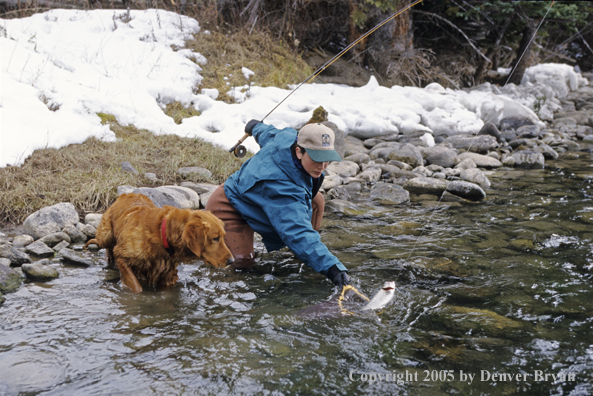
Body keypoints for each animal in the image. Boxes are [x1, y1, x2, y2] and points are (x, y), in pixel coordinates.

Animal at [85, 193, 234, 292]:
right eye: (215, 238)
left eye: (223, 236)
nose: (231, 261)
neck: (162, 236)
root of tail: (127, 193)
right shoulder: (122, 257)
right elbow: (136, 286)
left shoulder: (167, 273)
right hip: (106, 234)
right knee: (106, 244)